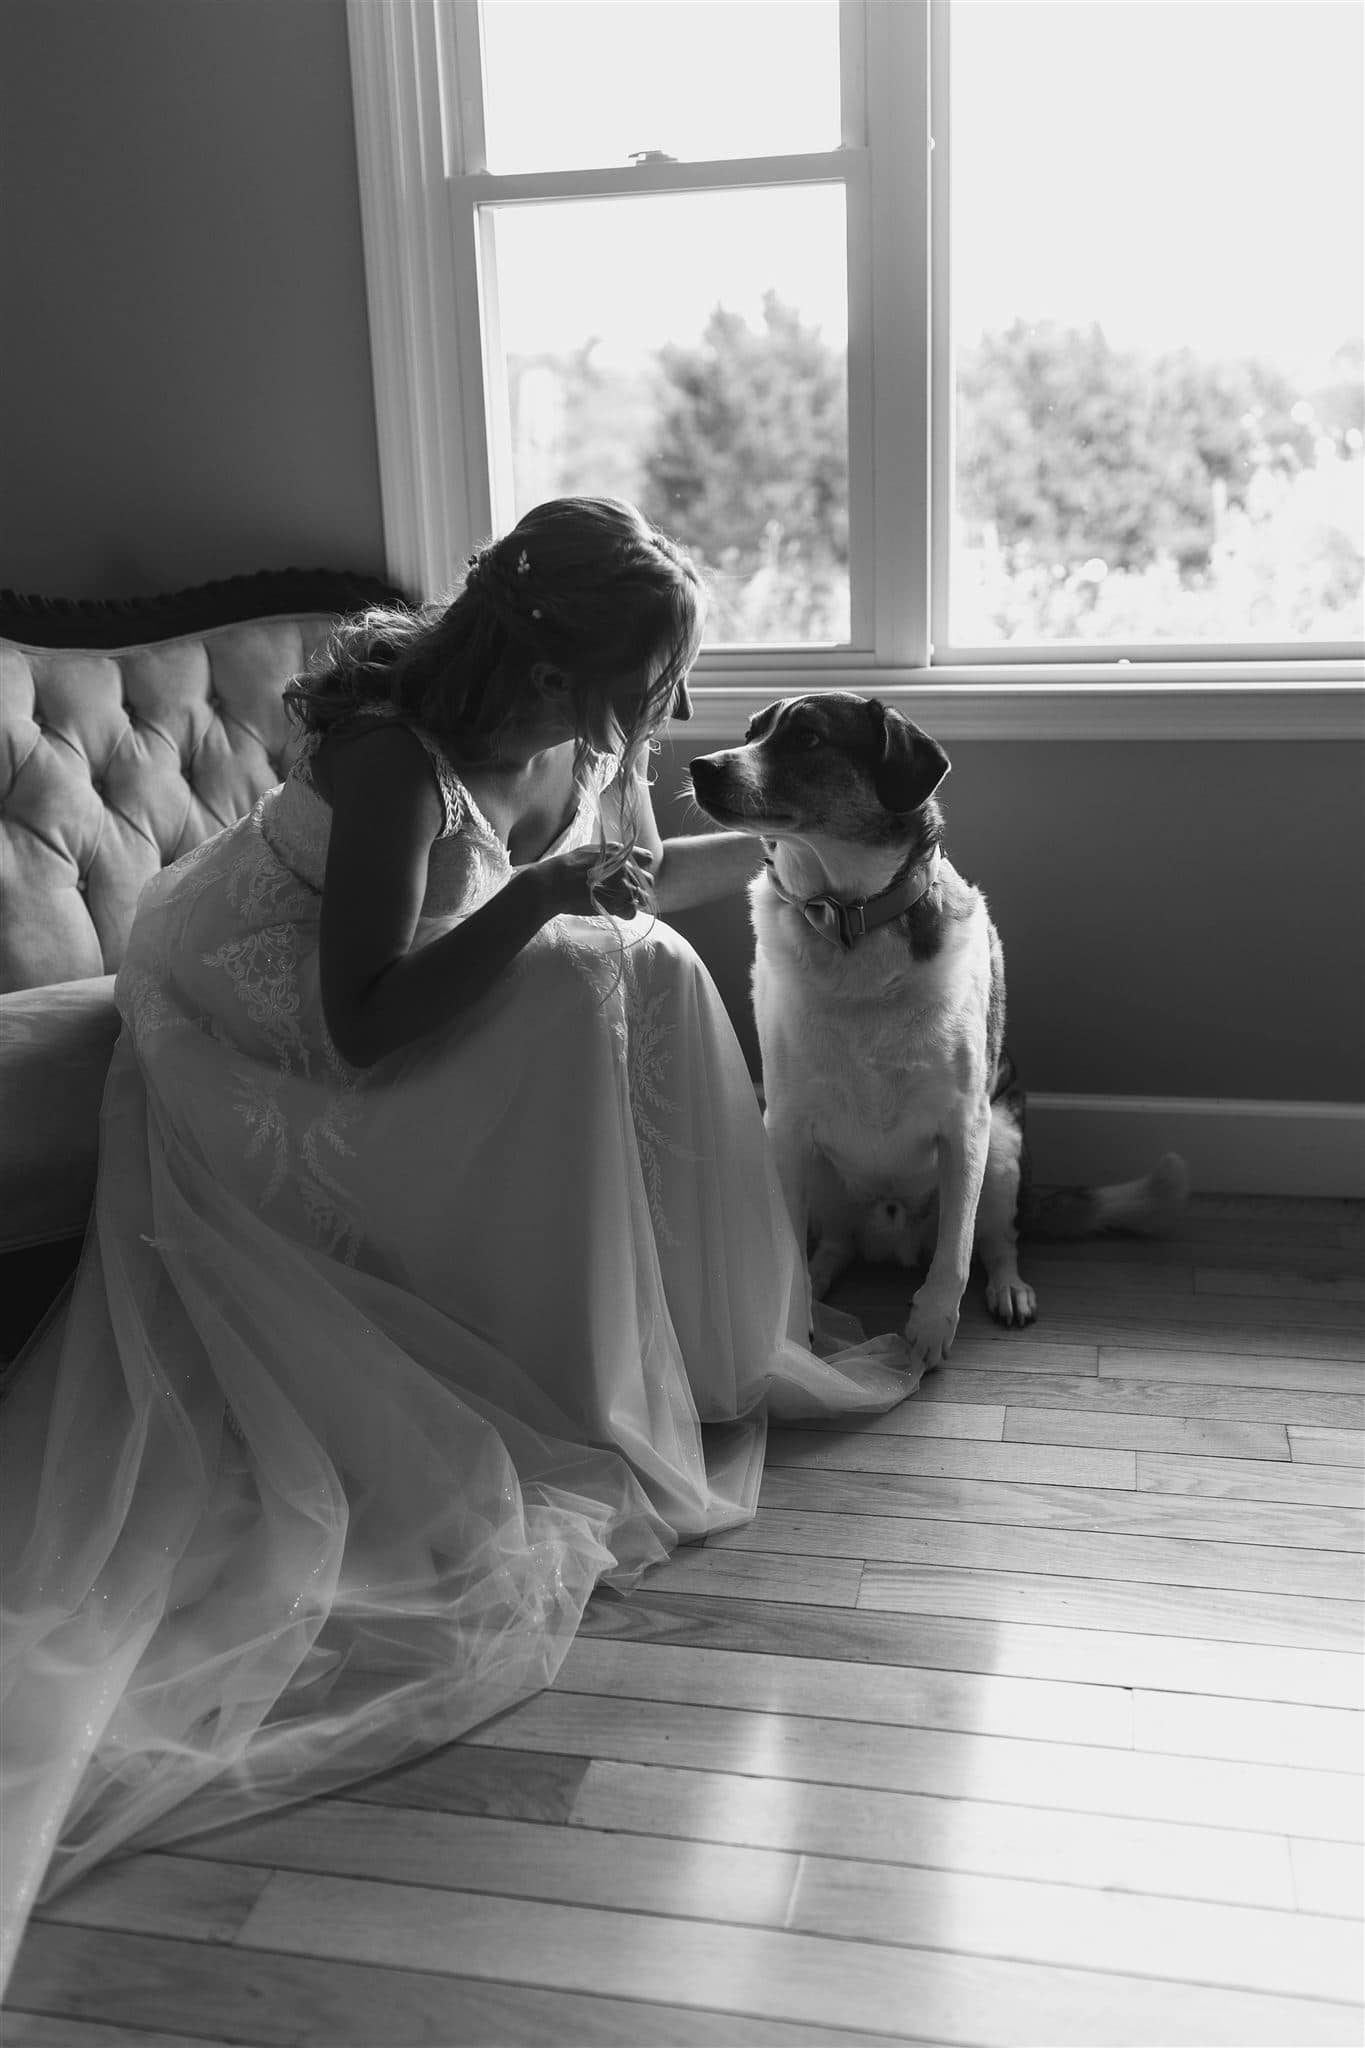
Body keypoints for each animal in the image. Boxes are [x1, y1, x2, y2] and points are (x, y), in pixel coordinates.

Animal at [687, 692, 1186, 1376]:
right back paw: (823, 1287)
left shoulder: (965, 1124)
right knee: (836, 1244)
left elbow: (957, 1250)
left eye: (809, 737)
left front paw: (929, 1327)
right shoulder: (785, 1124)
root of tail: (893, 1237)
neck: (851, 921)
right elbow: (789, 1247)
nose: (699, 766)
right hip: (823, 1172)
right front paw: (793, 1330)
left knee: (995, 1240)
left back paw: (1008, 1288)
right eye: (750, 732)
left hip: (1002, 1151)